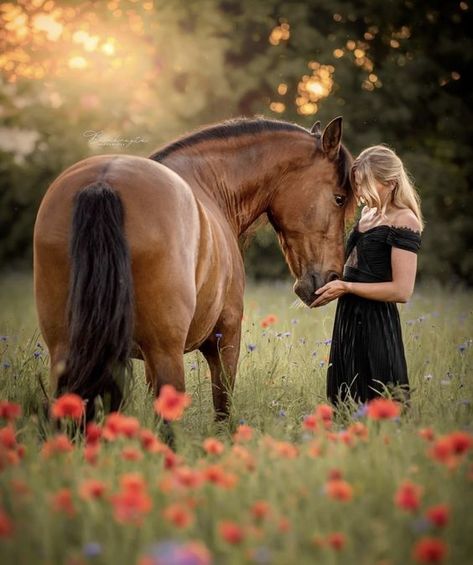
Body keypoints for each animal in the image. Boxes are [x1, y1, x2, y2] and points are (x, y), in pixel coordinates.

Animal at [33, 115, 354, 418]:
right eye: (339, 198)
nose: (332, 277)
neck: (210, 183)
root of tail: (104, 182)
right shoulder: (225, 338)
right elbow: (223, 408)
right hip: (165, 352)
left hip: (68, 349)